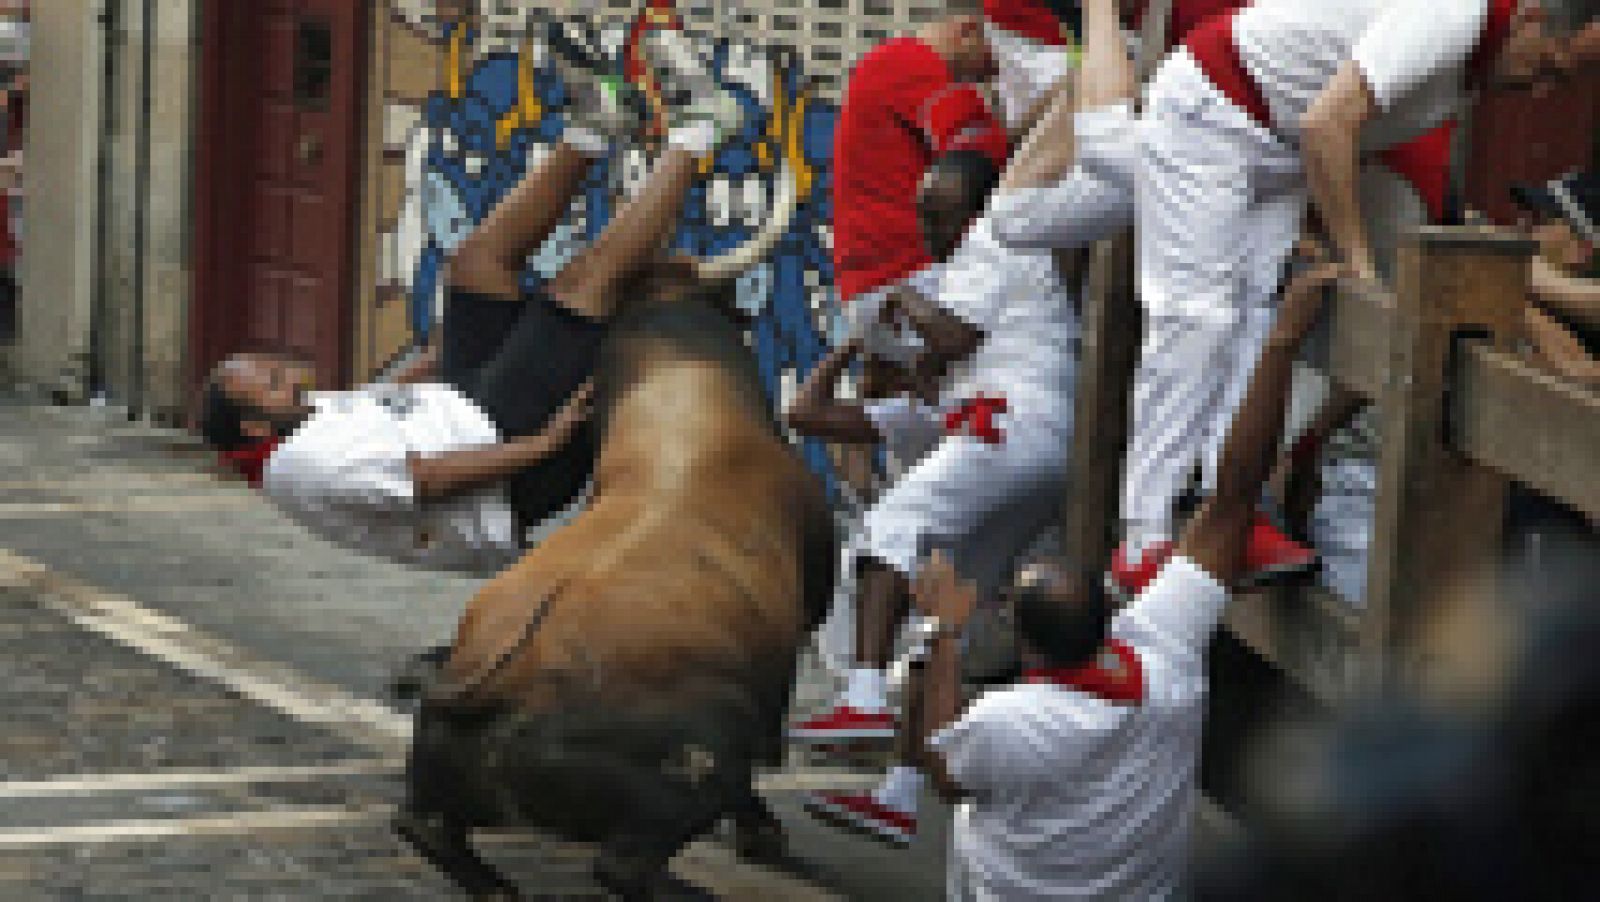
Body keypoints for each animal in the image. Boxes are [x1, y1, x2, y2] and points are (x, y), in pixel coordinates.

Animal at [400, 278, 838, 895]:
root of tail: (500, 683)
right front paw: (762, 835)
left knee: (425, 827)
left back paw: (497, 887)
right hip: (702, 762)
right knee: (625, 863)